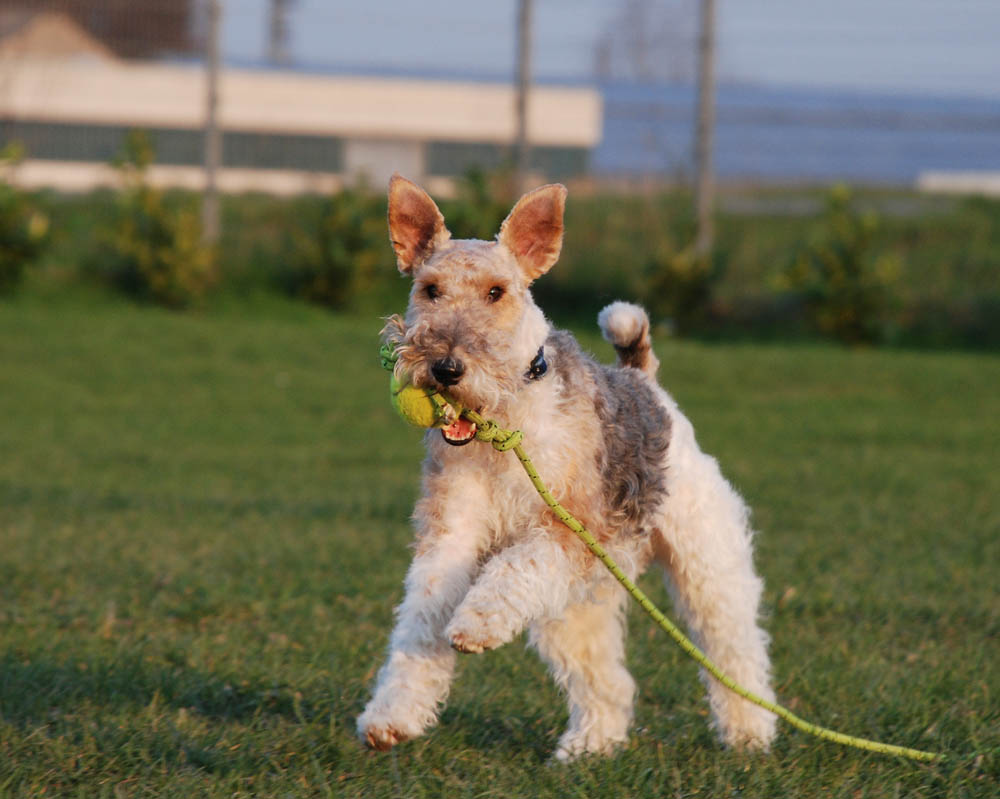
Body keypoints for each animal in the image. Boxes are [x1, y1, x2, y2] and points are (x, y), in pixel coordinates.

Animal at [356, 177, 776, 764]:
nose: (445, 368)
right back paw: (590, 747)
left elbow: (509, 569)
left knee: (734, 651)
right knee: (608, 680)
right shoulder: (451, 534)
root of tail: (644, 380)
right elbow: (420, 622)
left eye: (496, 293)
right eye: (429, 289)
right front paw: (389, 719)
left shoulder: (569, 527)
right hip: (579, 597)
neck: (505, 428)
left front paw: (475, 624)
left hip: (706, 560)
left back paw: (750, 736)